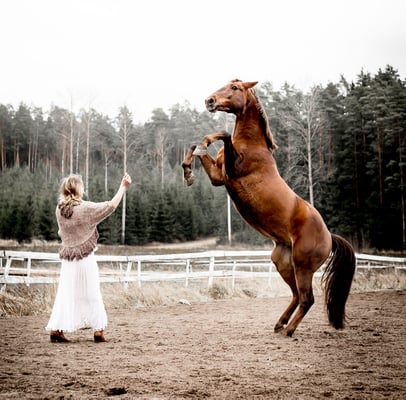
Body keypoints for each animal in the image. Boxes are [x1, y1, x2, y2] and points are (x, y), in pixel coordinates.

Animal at [182, 79, 356, 337]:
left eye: (235, 88)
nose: (209, 101)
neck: (252, 144)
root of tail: (329, 236)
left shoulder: (233, 169)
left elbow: (223, 134)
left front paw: (203, 148)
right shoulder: (218, 178)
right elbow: (196, 146)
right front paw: (189, 172)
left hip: (303, 267)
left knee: (308, 299)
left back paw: (289, 330)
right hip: (283, 262)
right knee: (296, 295)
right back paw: (279, 324)